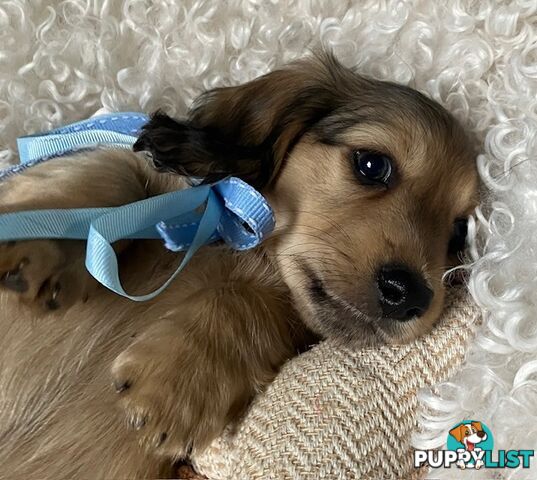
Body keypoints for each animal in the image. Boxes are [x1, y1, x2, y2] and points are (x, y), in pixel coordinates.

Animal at [0, 54, 478, 478]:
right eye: (372, 164)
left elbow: (249, 303)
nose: (410, 294)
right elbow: (116, 174)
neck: (241, 250)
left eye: (459, 233)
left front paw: (174, 384)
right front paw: (37, 241)